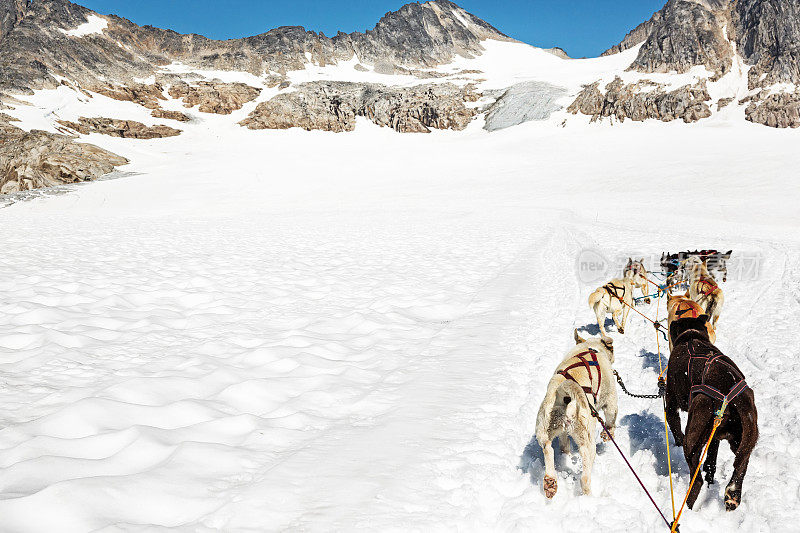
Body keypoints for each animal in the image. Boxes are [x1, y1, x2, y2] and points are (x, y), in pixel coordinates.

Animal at [536, 330, 620, 496]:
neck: (591, 348)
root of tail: (562, 393)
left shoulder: (562, 432)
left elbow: (564, 442)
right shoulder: (611, 399)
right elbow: (611, 419)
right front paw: (608, 435)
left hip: (545, 427)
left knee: (549, 448)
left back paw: (550, 481)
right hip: (587, 441)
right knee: (585, 478)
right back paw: (588, 496)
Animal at [664, 316, 760, 512]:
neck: (691, 335)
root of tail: (733, 397)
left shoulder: (670, 405)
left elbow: (676, 430)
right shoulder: (714, 437)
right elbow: (711, 461)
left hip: (693, 436)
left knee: (697, 480)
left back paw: (688, 507)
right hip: (745, 437)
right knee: (741, 463)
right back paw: (732, 495)